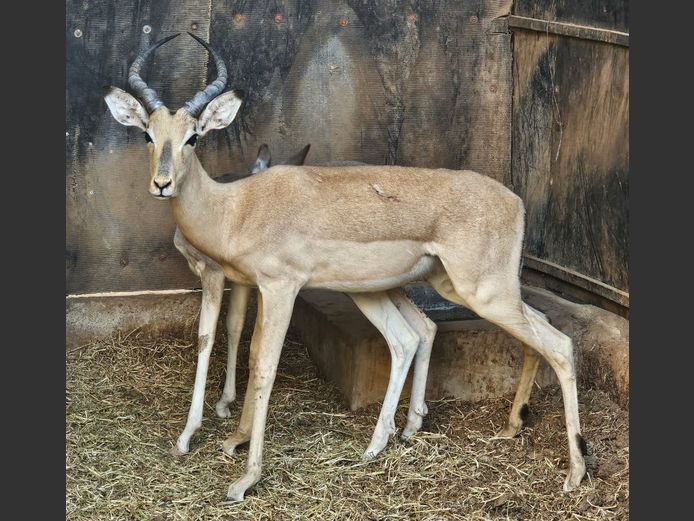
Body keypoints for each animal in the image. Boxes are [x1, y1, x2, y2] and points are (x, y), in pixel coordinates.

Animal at [104, 33, 586, 501]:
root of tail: (516, 201)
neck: (238, 206)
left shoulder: (279, 287)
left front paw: (245, 478)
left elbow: (263, 362)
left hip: (483, 294)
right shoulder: (238, 282)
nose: (162, 183)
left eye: (193, 137)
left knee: (560, 344)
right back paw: (474, 429)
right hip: (435, 289)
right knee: (435, 335)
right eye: (148, 135)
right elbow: (212, 340)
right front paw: (200, 439)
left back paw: (575, 472)